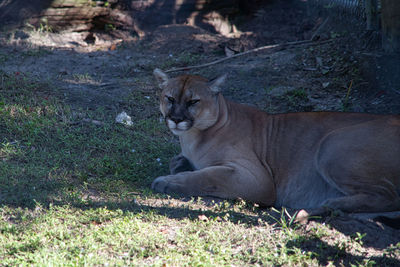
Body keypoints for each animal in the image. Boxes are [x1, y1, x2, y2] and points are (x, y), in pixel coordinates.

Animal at [151, 68, 400, 217]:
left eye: (193, 101)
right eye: (170, 98)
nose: (176, 118)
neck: (193, 137)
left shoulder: (256, 178)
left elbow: (209, 176)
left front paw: (167, 182)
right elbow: (178, 161)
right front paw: (180, 165)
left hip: (332, 145)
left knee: (389, 197)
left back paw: (327, 205)